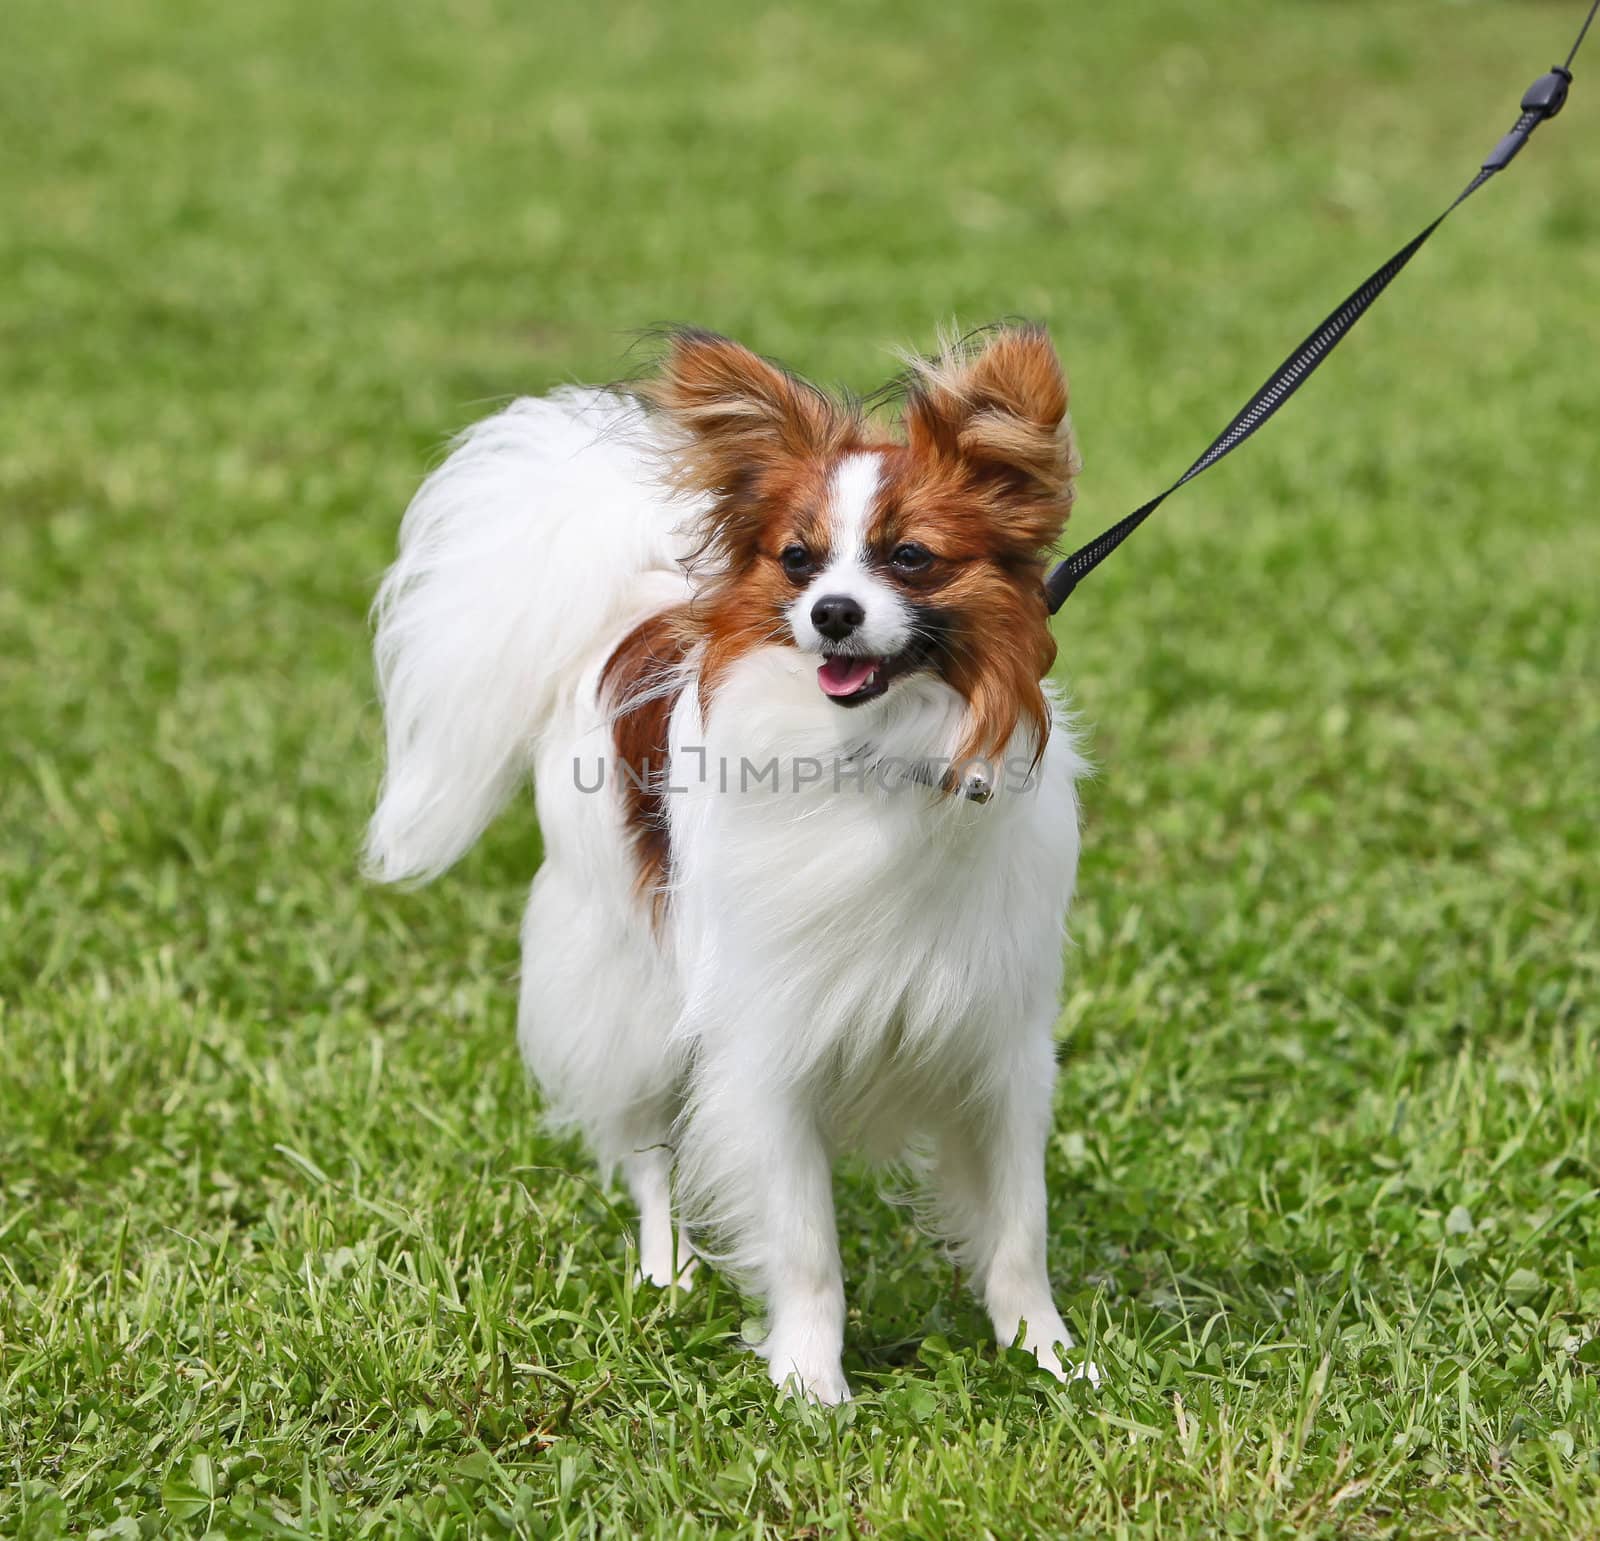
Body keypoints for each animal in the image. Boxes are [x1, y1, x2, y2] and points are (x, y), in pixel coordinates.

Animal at [364, 328, 1094, 1408]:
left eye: (909, 557)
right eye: (797, 560)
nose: (831, 612)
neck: (872, 751)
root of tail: (635, 607)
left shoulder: (996, 1040)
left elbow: (1016, 1227)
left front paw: (1046, 1354)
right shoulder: (766, 1045)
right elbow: (806, 1245)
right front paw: (811, 1386)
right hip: (633, 985)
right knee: (647, 1148)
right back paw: (666, 1269)